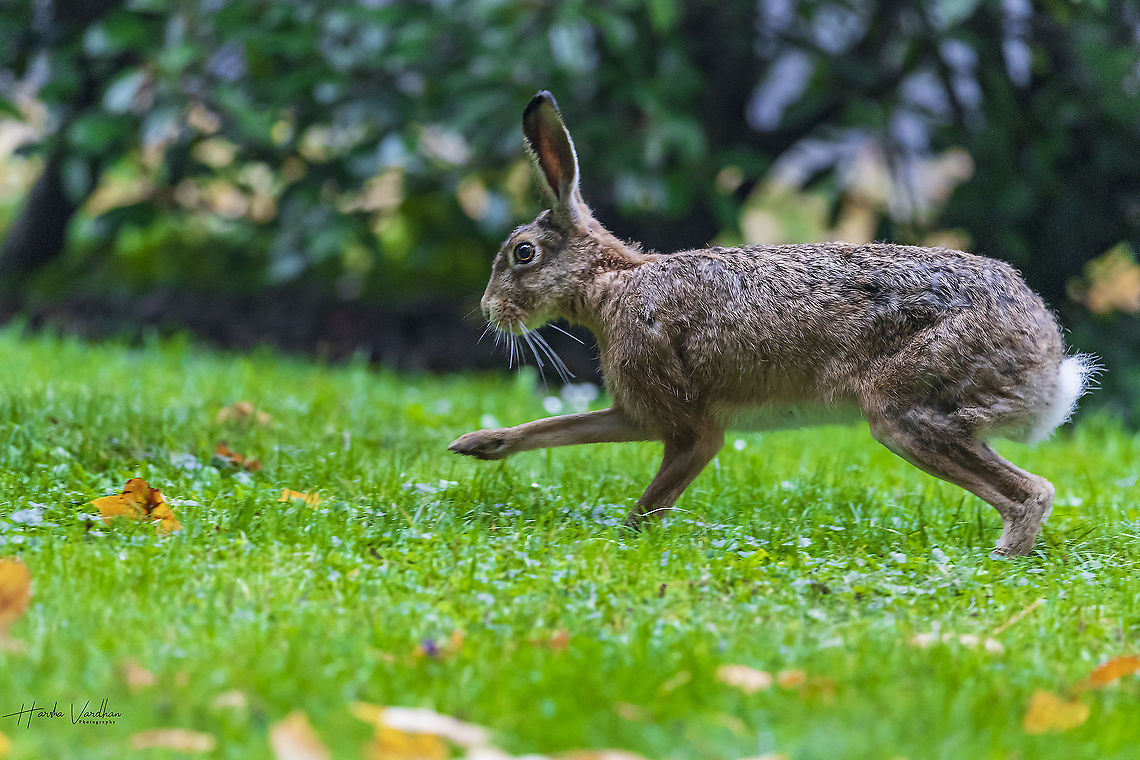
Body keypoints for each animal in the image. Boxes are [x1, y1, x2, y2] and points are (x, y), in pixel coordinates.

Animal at [449, 90, 1097, 557]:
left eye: (523, 254)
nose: (488, 310)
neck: (613, 286)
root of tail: (1048, 359)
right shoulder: (638, 413)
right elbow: (559, 426)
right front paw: (477, 445)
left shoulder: (690, 427)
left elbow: (657, 495)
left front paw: (625, 536)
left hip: (906, 411)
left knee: (1031, 493)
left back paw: (1000, 558)